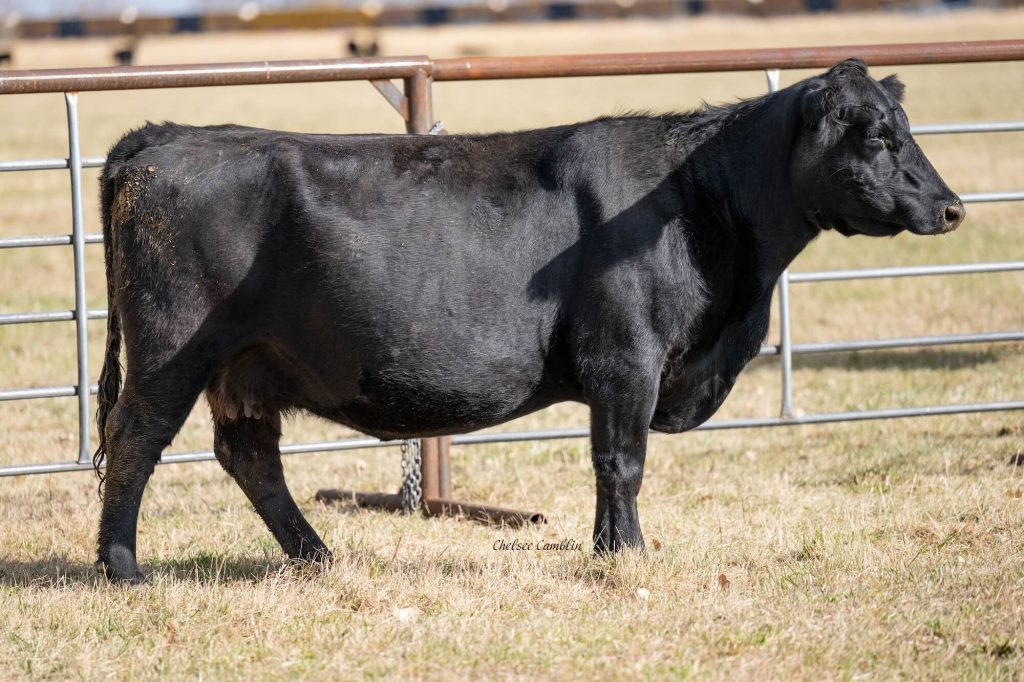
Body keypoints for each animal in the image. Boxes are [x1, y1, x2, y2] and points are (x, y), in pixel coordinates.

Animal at [93, 59, 964, 582]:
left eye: (905, 128)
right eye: (879, 135)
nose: (952, 207)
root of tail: (166, 136)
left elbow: (612, 466)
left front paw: (611, 549)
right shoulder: (626, 360)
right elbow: (622, 462)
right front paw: (626, 555)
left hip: (246, 368)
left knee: (250, 459)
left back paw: (319, 556)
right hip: (173, 351)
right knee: (135, 443)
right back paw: (122, 567)